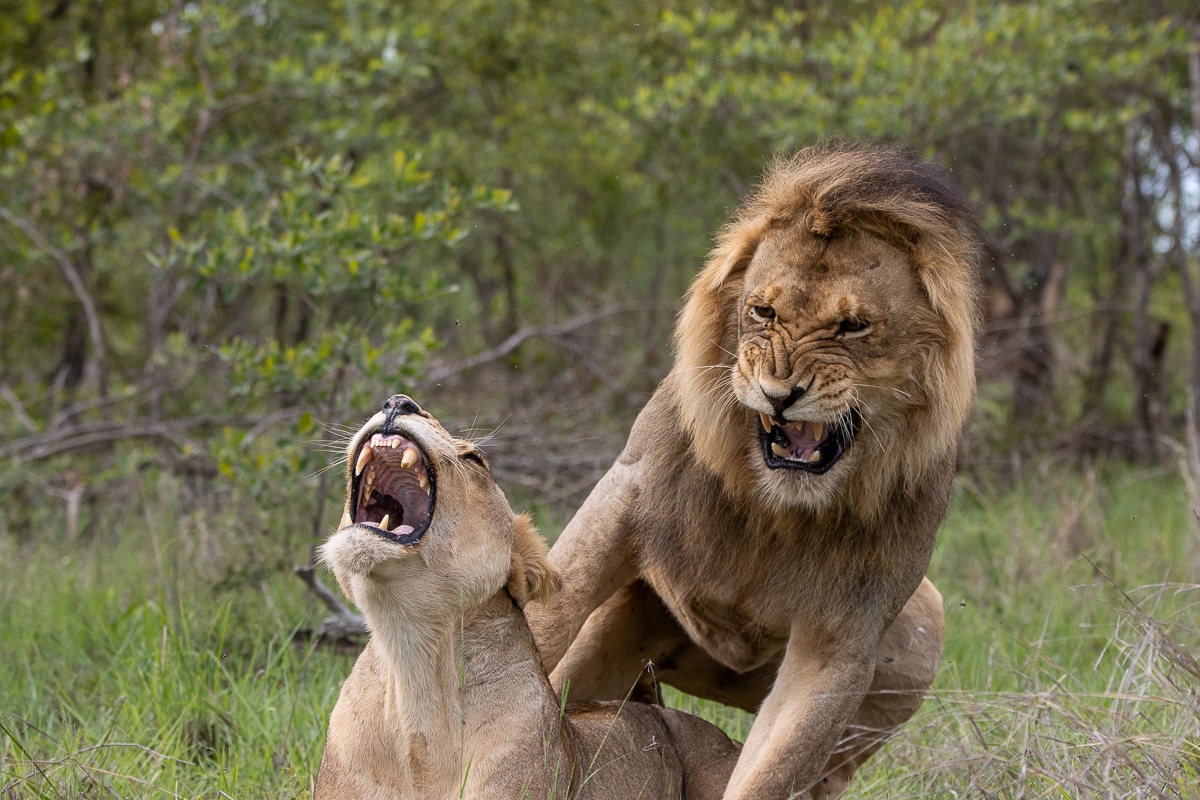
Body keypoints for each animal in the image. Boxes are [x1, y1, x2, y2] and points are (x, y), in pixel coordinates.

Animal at [524, 142, 980, 799]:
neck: (777, 506)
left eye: (853, 326)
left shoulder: (840, 639)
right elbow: (538, 627)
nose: (781, 395)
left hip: (923, 627)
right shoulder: (620, 501)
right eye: (762, 311)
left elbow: (773, 769)